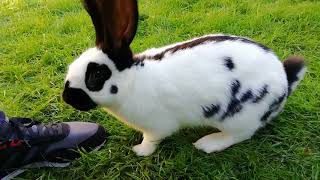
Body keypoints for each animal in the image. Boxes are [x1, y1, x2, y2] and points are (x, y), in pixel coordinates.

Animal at [62, 0, 304, 156]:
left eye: (96, 76)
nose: (66, 97)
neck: (132, 81)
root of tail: (285, 80)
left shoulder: (157, 126)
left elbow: (151, 140)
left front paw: (139, 151)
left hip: (240, 118)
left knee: (240, 135)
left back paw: (208, 144)